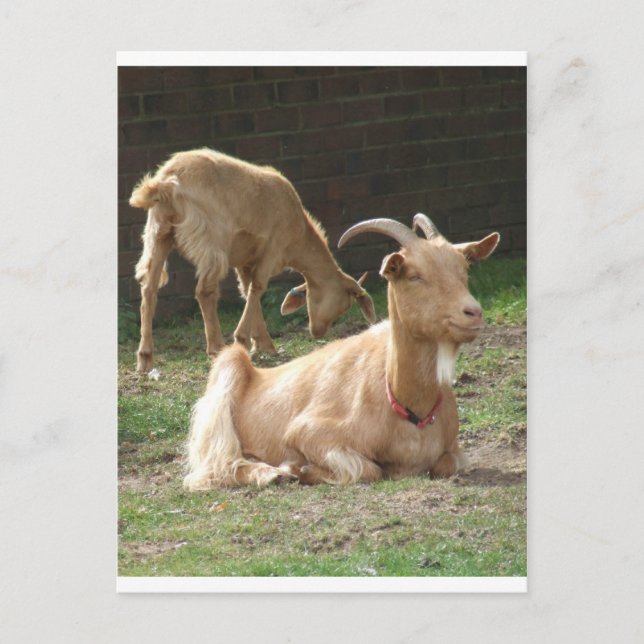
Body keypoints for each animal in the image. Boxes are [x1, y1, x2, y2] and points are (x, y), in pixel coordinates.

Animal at [129, 148, 375, 372]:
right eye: (345, 304)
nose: (318, 333)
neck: (299, 235)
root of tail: (166, 182)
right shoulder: (272, 249)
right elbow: (257, 288)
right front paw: (245, 339)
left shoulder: (245, 261)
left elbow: (247, 291)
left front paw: (263, 343)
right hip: (211, 239)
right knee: (205, 291)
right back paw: (216, 348)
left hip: (158, 233)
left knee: (149, 289)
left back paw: (145, 358)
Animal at [184, 214, 500, 488]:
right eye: (415, 276)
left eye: (464, 270)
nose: (473, 312)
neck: (405, 402)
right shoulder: (307, 431)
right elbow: (369, 469)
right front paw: (300, 468)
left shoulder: (452, 449)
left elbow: (447, 465)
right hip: (226, 378)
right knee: (218, 466)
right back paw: (271, 473)